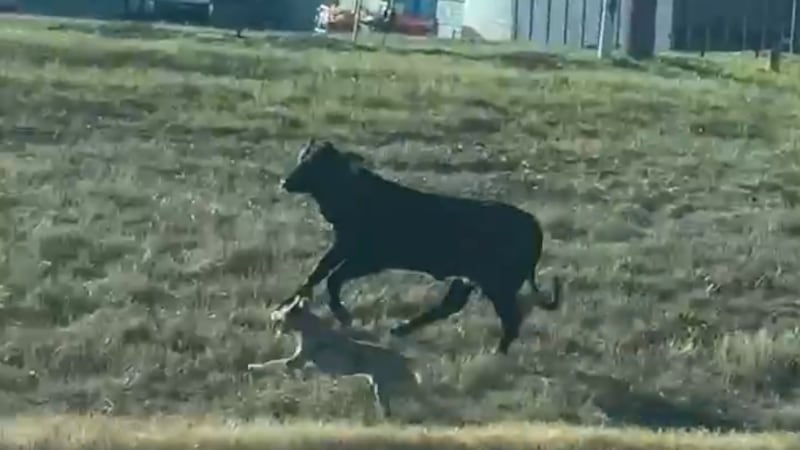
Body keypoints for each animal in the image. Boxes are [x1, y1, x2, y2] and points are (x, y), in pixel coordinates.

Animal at [276, 139, 562, 355]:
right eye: (303, 158)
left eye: (314, 164)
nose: (285, 182)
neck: (356, 194)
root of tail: (533, 224)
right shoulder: (343, 247)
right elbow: (319, 271)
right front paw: (288, 302)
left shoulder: (368, 258)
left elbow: (332, 278)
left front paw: (341, 314)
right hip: (470, 279)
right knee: (450, 306)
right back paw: (400, 329)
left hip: (498, 285)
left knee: (510, 319)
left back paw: (497, 353)